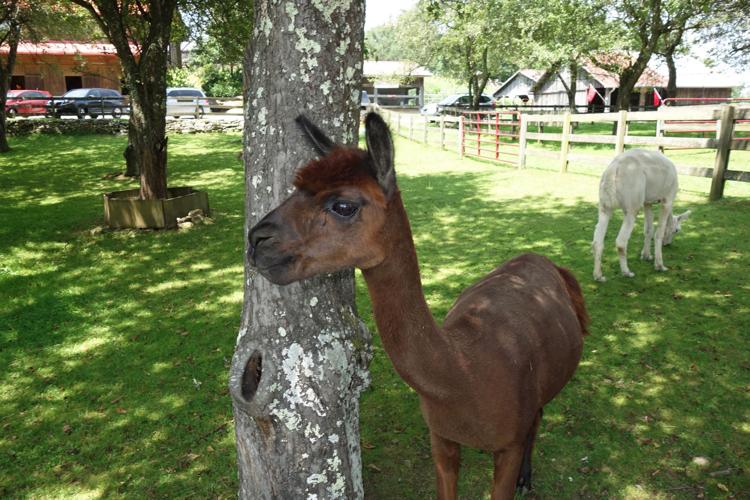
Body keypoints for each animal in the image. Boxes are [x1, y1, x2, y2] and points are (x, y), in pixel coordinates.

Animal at [248, 112, 589, 499]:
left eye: (344, 206)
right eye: (295, 191)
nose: (257, 240)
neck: (465, 373)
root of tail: (546, 261)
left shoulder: (508, 444)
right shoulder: (441, 437)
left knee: (539, 417)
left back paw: (526, 478)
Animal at [592, 149, 691, 282]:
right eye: (677, 230)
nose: (668, 244)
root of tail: (614, 169)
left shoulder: (647, 202)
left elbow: (649, 230)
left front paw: (646, 255)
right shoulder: (667, 199)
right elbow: (658, 232)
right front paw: (660, 265)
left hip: (604, 206)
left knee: (597, 242)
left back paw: (598, 276)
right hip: (632, 206)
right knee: (621, 242)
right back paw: (627, 272)